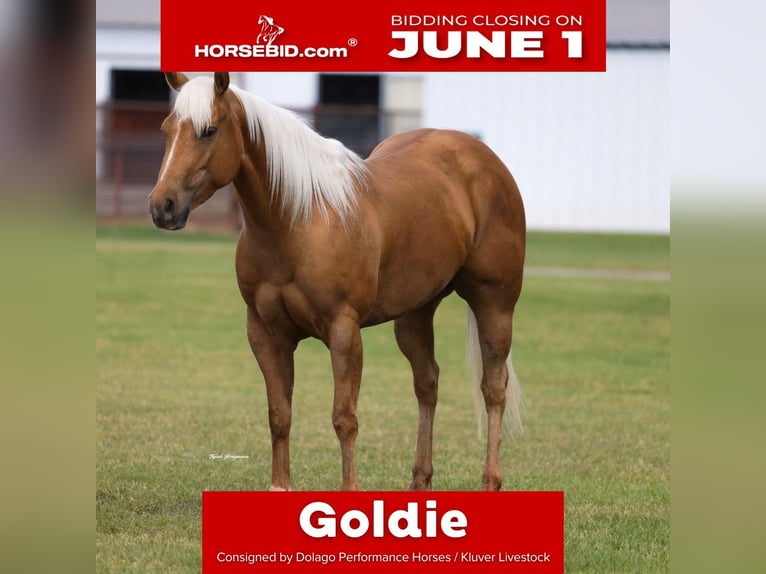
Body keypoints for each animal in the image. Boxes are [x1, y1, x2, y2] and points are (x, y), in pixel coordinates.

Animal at [149, 72, 526, 491]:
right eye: (167, 129)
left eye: (209, 130)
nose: (162, 206)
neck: (299, 219)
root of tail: (484, 158)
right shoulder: (265, 334)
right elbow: (279, 415)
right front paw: (280, 485)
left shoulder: (344, 332)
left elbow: (344, 418)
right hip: (415, 313)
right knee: (427, 383)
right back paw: (420, 481)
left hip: (494, 304)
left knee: (493, 389)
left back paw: (490, 480)